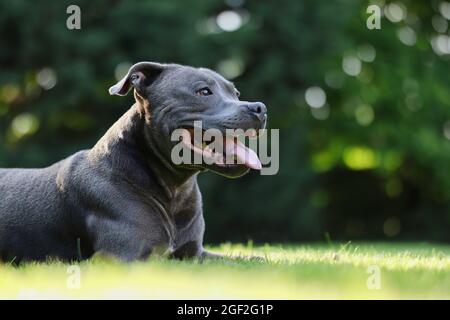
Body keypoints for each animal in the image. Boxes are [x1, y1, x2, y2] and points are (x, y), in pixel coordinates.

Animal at [0, 62, 268, 262]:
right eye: (203, 91)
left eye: (235, 94)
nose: (260, 107)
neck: (174, 189)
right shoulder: (126, 257)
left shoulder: (194, 253)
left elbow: (247, 260)